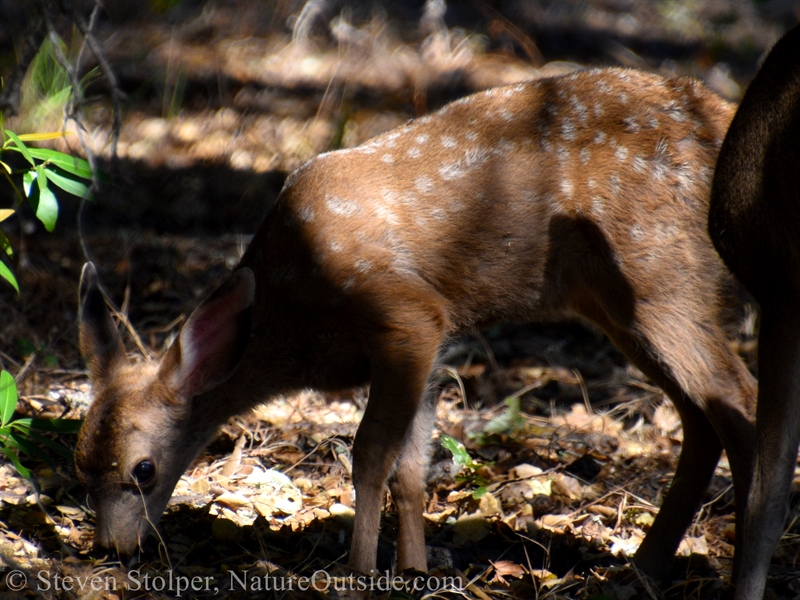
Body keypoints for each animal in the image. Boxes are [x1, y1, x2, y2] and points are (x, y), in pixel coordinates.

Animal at [76, 67, 756, 584]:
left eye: (143, 469)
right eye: (80, 462)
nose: (111, 549)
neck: (296, 316)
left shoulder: (407, 316)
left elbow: (370, 455)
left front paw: (359, 571)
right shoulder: (430, 348)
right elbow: (410, 467)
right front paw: (414, 569)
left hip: (660, 275)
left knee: (741, 403)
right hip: (621, 304)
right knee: (703, 421)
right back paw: (642, 569)